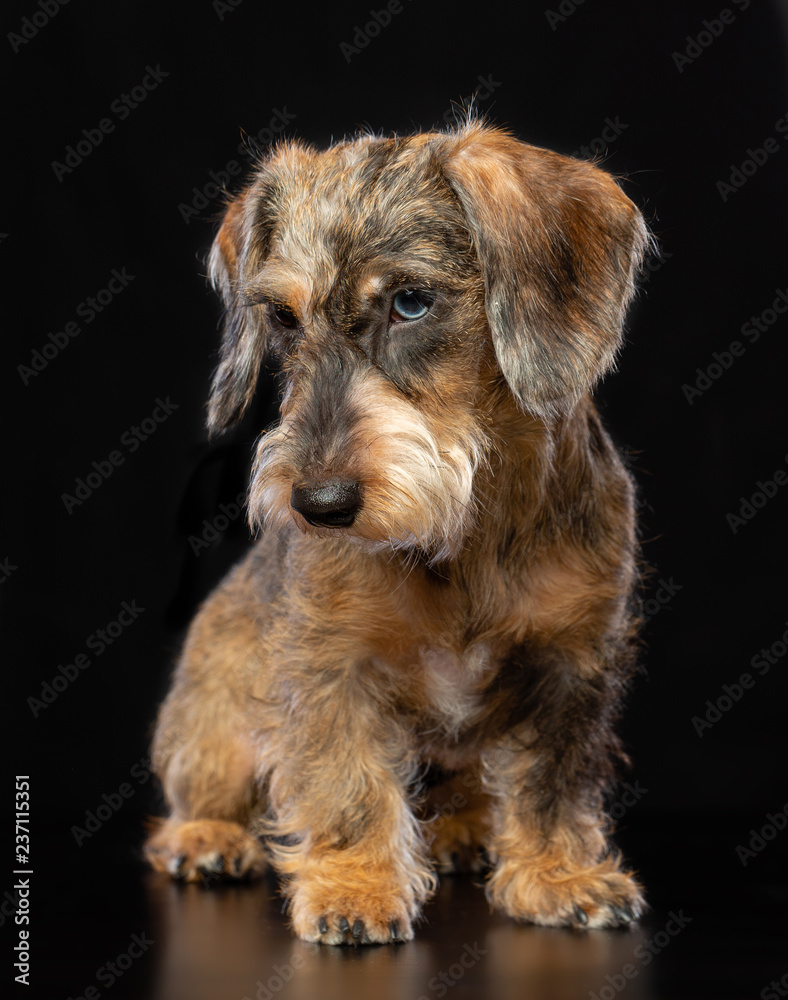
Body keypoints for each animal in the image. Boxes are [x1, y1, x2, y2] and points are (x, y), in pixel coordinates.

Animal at [145, 119, 648, 944]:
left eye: (411, 302)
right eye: (282, 317)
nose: (318, 504)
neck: (467, 530)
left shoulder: (571, 658)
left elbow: (552, 780)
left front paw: (558, 874)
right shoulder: (332, 661)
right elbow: (347, 779)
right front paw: (356, 887)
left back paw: (465, 830)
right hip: (212, 718)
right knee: (203, 792)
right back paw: (206, 837)